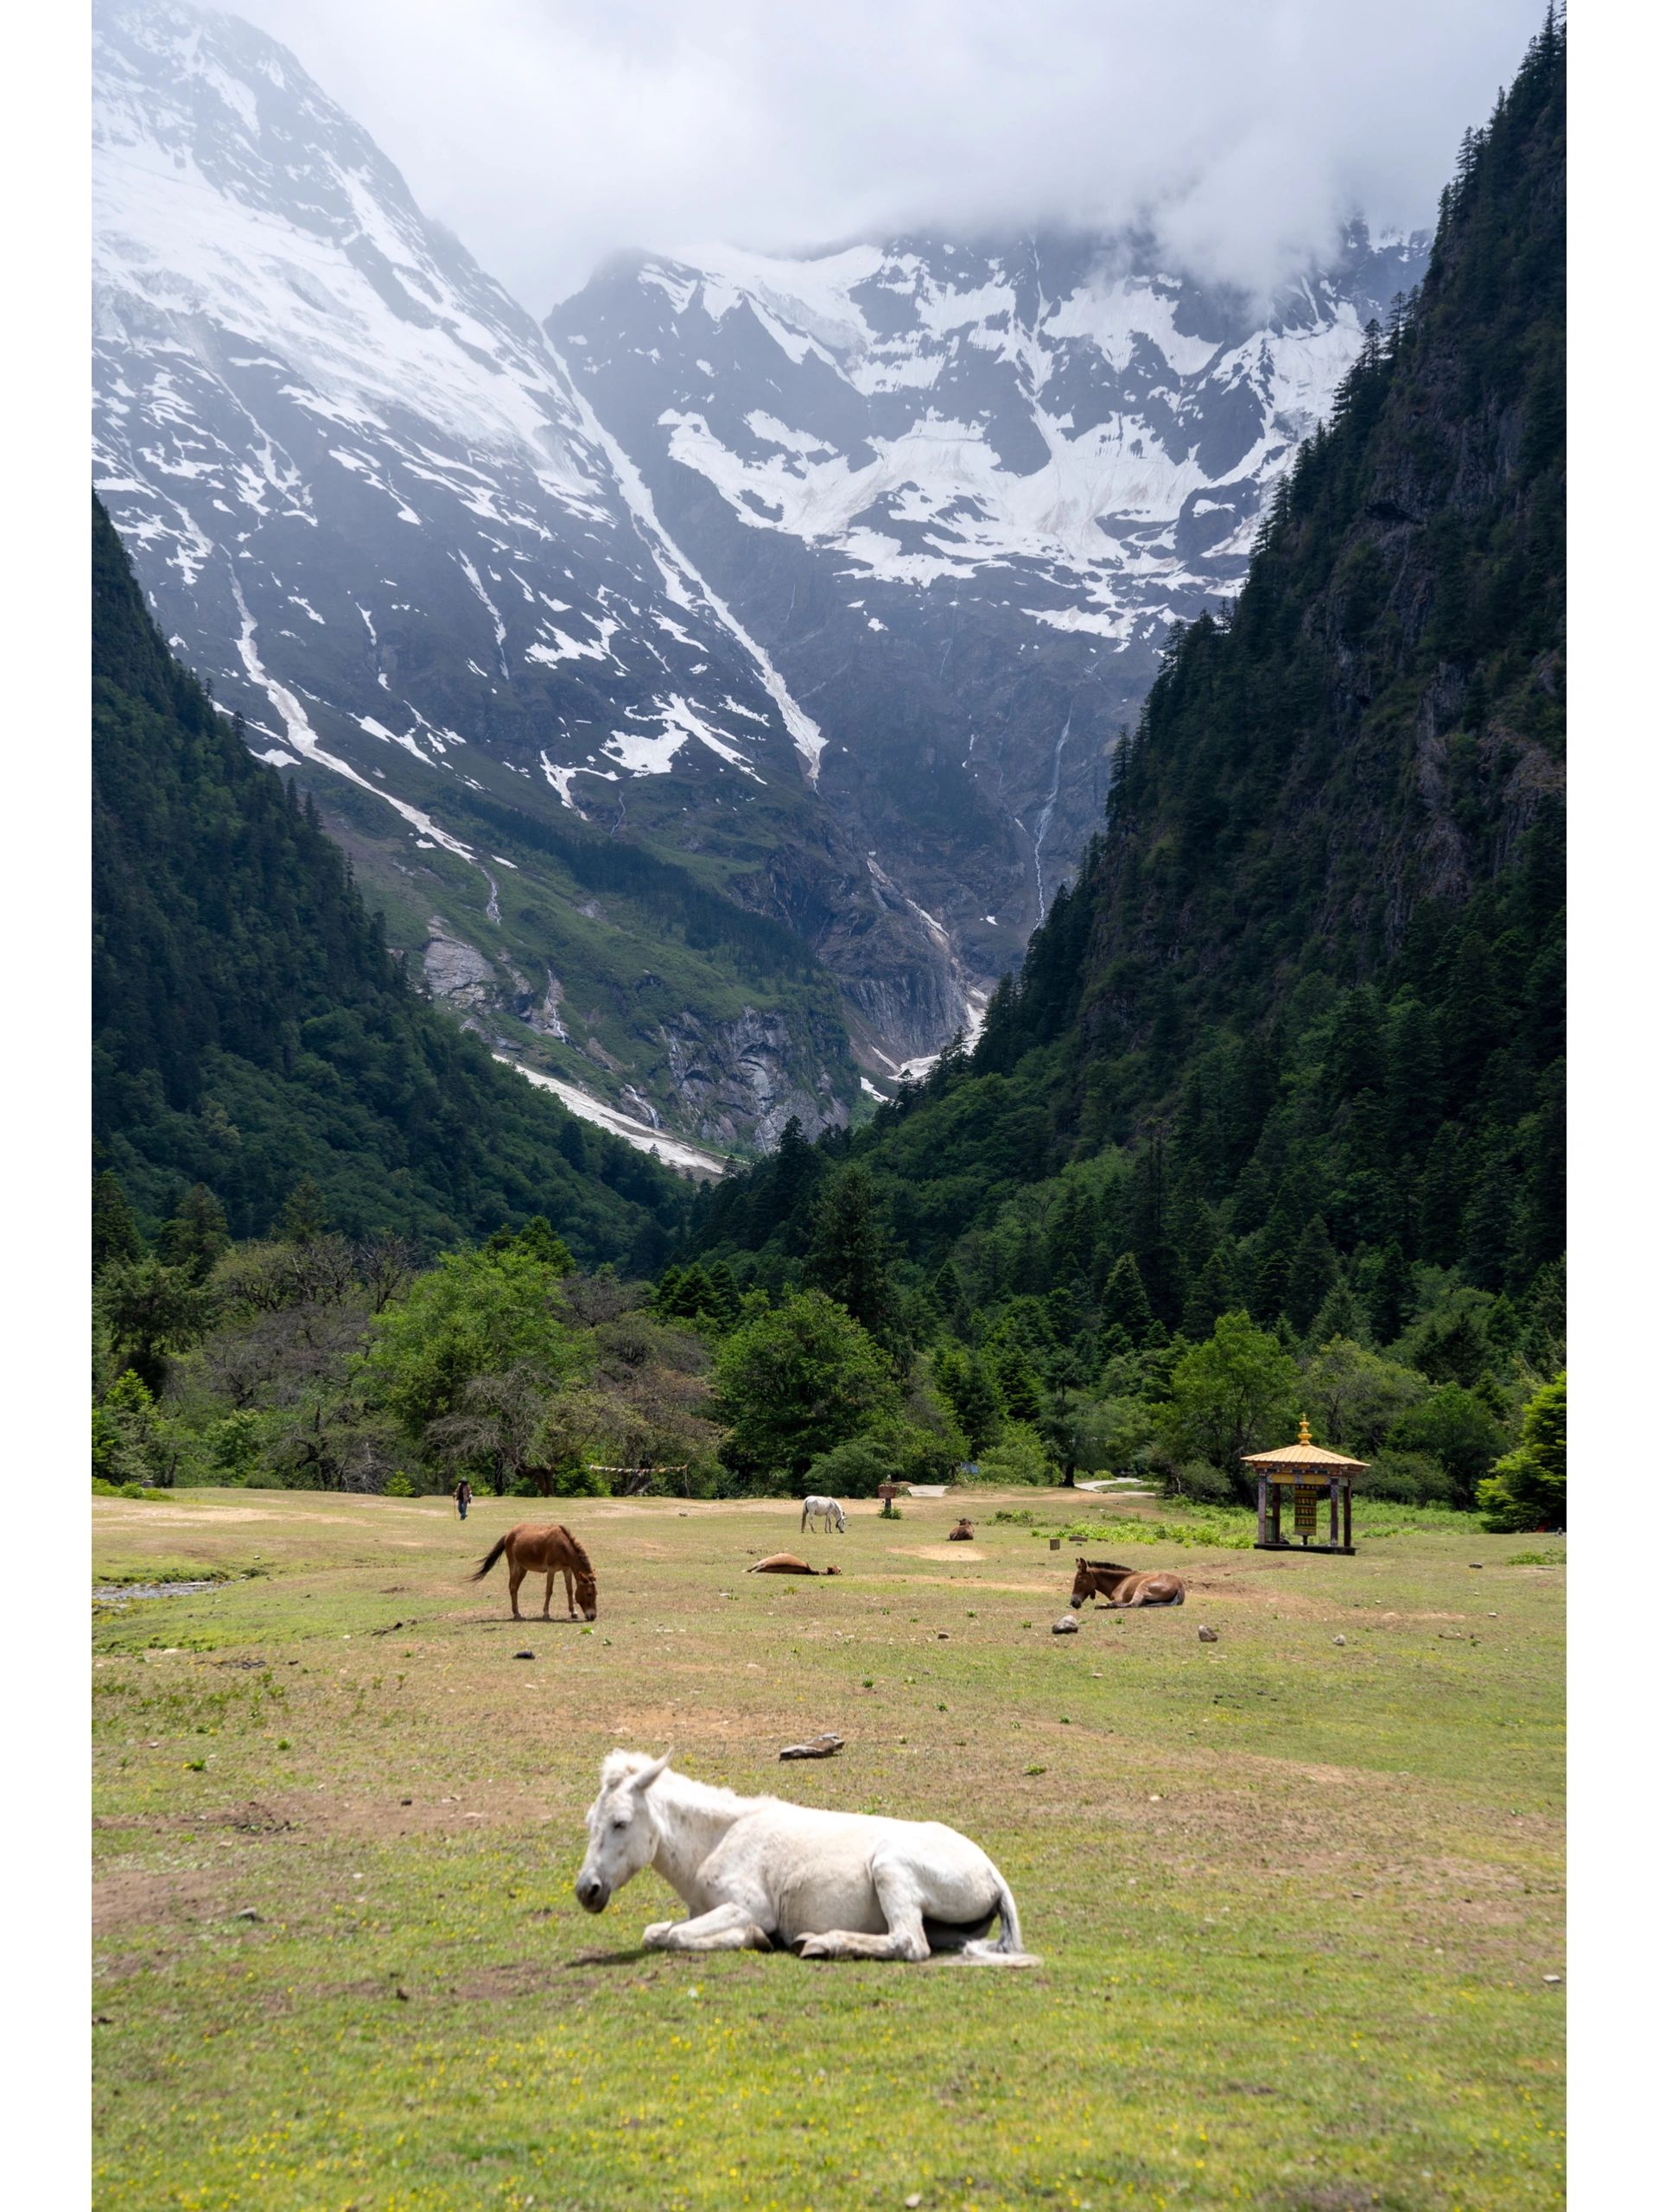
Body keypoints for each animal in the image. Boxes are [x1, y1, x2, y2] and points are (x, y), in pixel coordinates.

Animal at [473, 1530, 597, 1618]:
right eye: (589, 1594)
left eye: (596, 1593)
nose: (592, 1617)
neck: (563, 1547)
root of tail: (508, 1534)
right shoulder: (551, 1570)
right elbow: (549, 1590)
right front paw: (546, 1613)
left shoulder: (567, 1569)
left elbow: (570, 1590)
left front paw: (573, 1612)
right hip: (513, 1565)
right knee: (512, 1587)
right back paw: (516, 1613)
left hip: (523, 1569)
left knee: (515, 1587)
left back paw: (517, 1611)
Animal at [579, 1751, 1035, 1964]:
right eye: (590, 1821)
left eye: (620, 1822)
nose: (587, 1890)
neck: (719, 1839)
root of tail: (991, 1872)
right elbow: (656, 1932)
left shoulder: (750, 1907)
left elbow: (671, 1937)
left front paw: (755, 1938)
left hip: (890, 1868)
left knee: (909, 1943)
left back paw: (821, 1943)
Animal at [1071, 1557, 1185, 1610]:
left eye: (1079, 1581)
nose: (1072, 1602)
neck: (1119, 1581)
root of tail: (1179, 1586)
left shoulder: (1119, 1598)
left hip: (1142, 1587)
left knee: (1133, 1604)